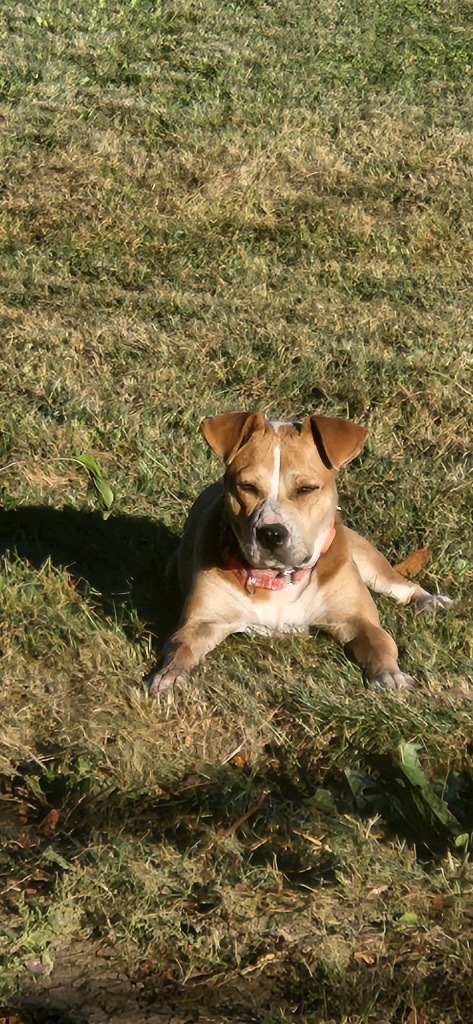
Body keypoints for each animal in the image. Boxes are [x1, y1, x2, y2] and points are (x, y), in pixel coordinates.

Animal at [146, 409, 450, 696]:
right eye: (247, 487)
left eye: (306, 489)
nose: (271, 533)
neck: (279, 578)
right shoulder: (202, 622)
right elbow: (180, 646)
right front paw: (168, 675)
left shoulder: (358, 619)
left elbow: (380, 642)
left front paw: (390, 675)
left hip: (370, 563)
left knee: (401, 585)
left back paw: (431, 600)